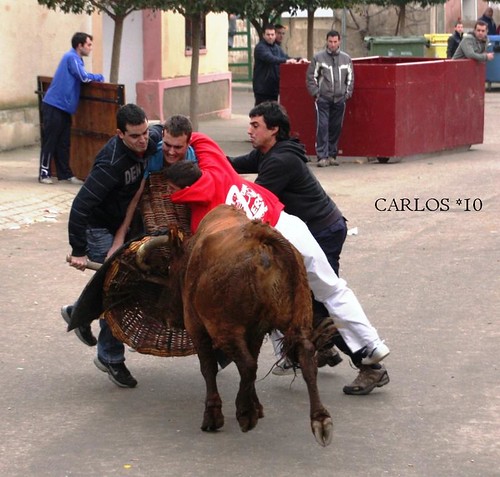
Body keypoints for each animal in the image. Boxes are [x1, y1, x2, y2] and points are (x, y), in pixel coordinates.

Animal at [163, 205, 332, 446]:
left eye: (169, 269)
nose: (169, 317)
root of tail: (259, 236)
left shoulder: (198, 328)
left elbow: (209, 367)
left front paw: (214, 416)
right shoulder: (256, 331)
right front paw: (257, 406)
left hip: (224, 329)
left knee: (247, 365)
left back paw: (244, 413)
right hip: (298, 318)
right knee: (306, 356)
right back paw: (320, 419)